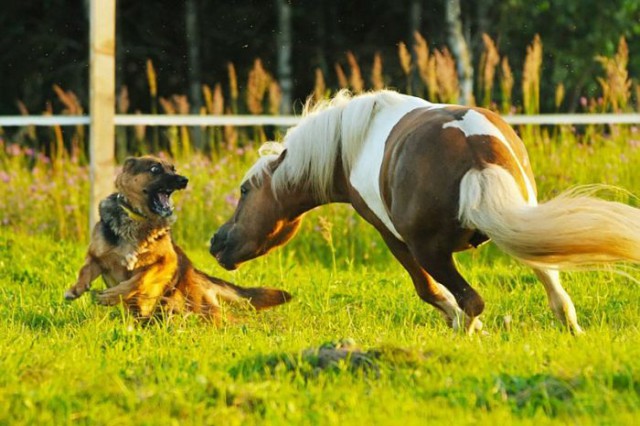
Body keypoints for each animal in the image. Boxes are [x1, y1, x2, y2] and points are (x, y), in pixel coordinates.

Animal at [63, 156, 292, 320]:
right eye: (155, 169)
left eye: (173, 168)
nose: (184, 180)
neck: (137, 218)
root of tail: (196, 273)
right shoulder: (97, 257)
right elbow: (85, 270)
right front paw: (76, 289)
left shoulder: (167, 261)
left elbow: (139, 279)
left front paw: (112, 295)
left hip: (203, 311)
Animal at [210, 90, 640, 334]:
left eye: (245, 191)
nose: (216, 242)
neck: (348, 145)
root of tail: (475, 151)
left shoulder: (394, 238)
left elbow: (429, 290)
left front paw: (455, 320)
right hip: (522, 222)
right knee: (552, 283)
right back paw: (570, 329)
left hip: (431, 250)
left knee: (472, 301)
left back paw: (466, 334)